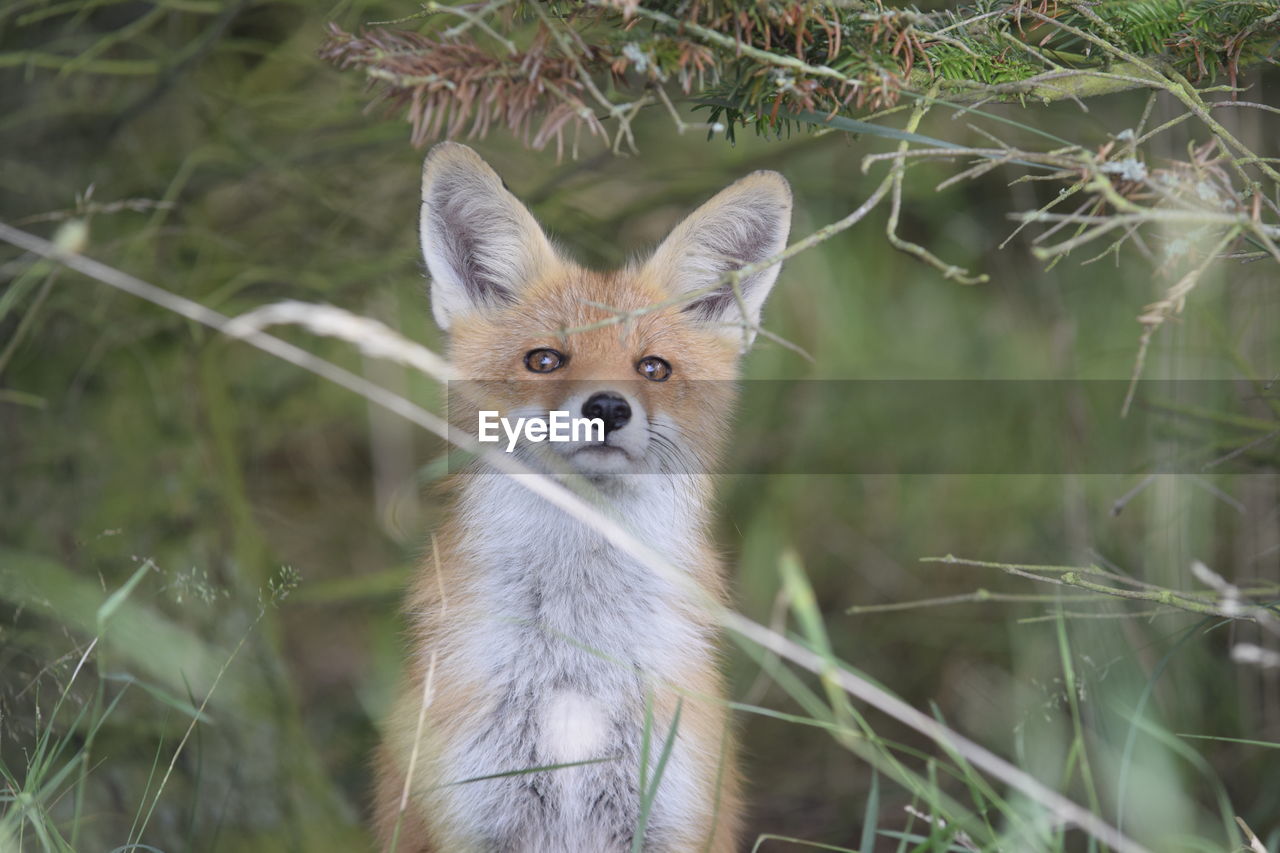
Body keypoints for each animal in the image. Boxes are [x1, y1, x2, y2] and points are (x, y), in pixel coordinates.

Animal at [371, 142, 788, 845]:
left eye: (653, 368)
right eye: (545, 360)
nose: (608, 408)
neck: (574, 669)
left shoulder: (671, 815)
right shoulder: (473, 814)